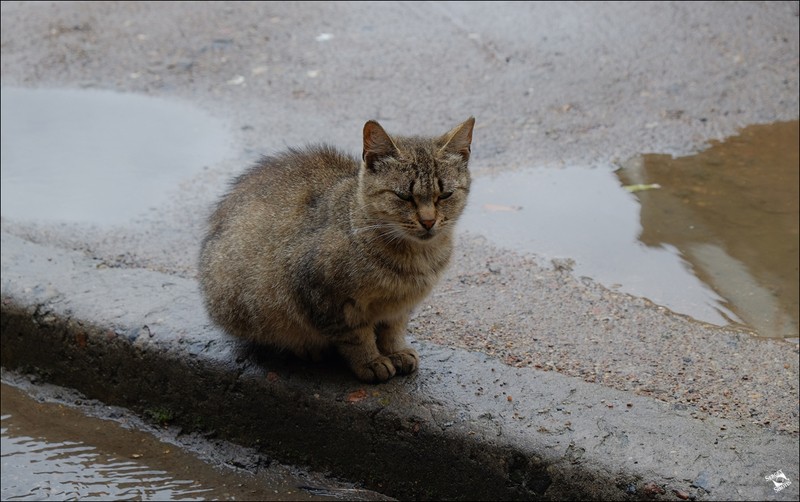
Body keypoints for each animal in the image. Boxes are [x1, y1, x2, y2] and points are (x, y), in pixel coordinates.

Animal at [200, 117, 476, 382]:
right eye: (403, 196)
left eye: (445, 195)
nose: (428, 221)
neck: (416, 258)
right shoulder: (326, 298)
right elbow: (356, 336)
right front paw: (371, 361)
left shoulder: (399, 309)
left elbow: (393, 330)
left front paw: (396, 350)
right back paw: (307, 348)